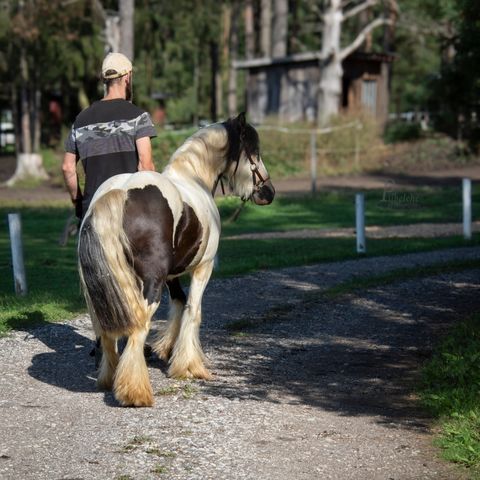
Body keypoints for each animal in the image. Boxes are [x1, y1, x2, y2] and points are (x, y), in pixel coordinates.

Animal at [78, 112, 274, 404]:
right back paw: (134, 392)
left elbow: (179, 305)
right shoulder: (203, 269)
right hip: (150, 285)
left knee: (106, 329)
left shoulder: (172, 275)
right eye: (254, 151)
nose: (268, 192)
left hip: (100, 288)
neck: (193, 179)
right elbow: (193, 311)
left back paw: (109, 377)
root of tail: (120, 192)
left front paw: (169, 351)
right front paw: (189, 366)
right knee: (137, 327)